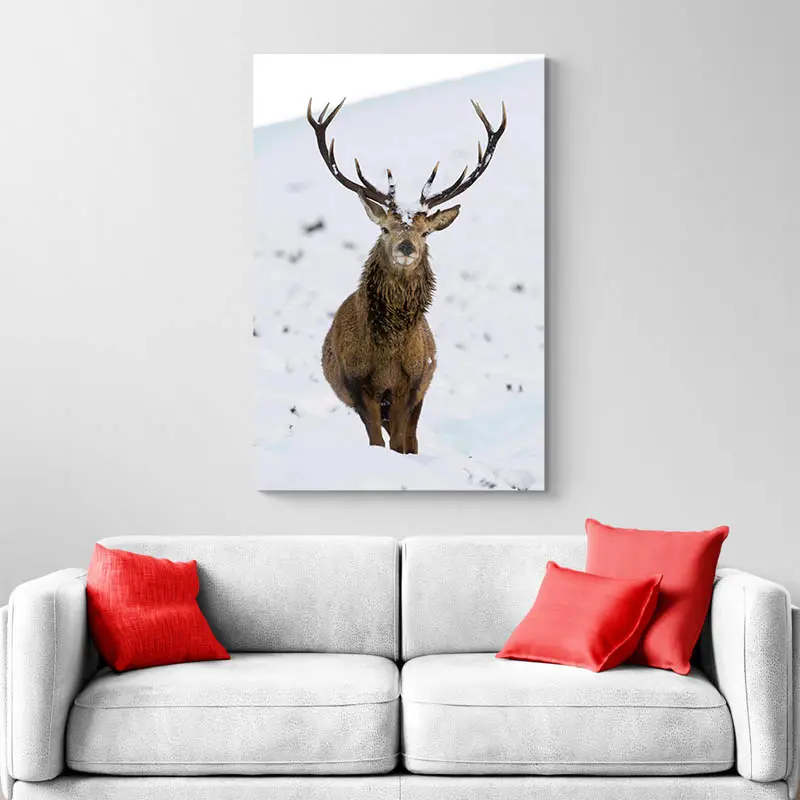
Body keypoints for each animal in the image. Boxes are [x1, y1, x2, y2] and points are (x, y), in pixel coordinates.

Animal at [307, 97, 506, 454]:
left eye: (425, 232)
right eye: (385, 228)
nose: (406, 247)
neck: (388, 353)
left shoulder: (411, 385)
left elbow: (400, 441)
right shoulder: (357, 385)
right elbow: (376, 440)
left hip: (422, 389)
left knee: (412, 438)